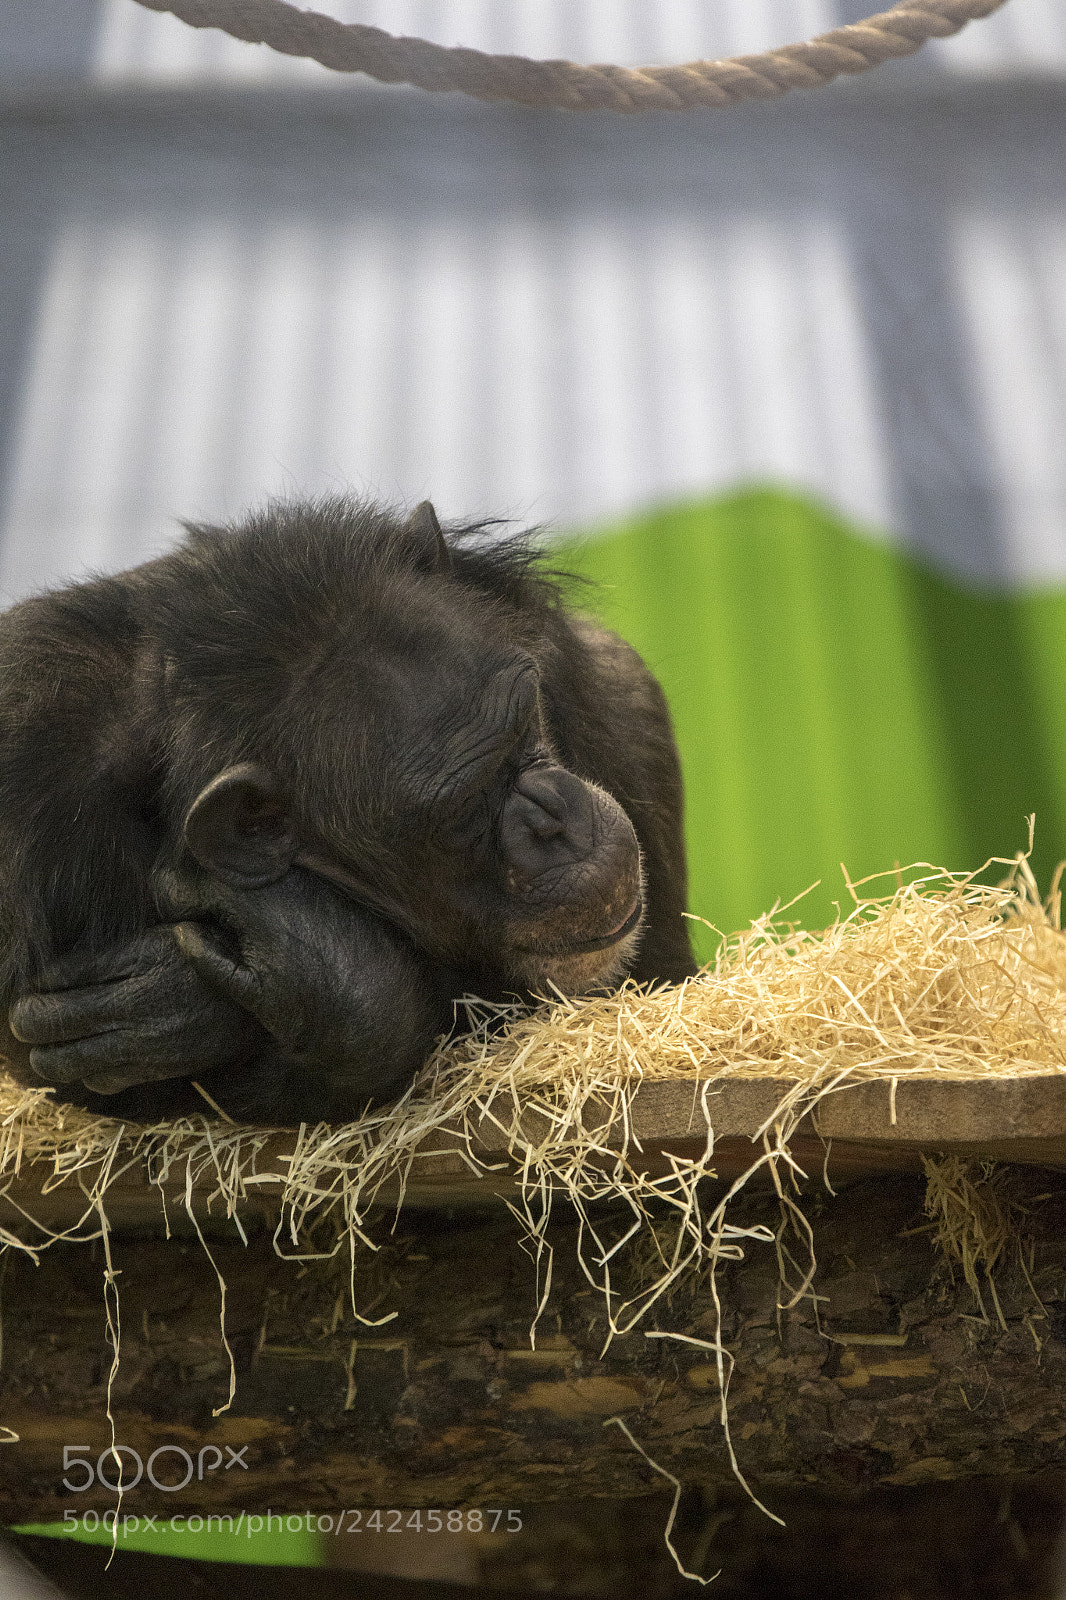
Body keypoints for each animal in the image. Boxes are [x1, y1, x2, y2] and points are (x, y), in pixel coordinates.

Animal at [0, 497, 695, 1123]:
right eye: (464, 807)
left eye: (526, 725)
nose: (553, 818)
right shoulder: (34, 767)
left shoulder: (593, 683)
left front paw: (197, 994)